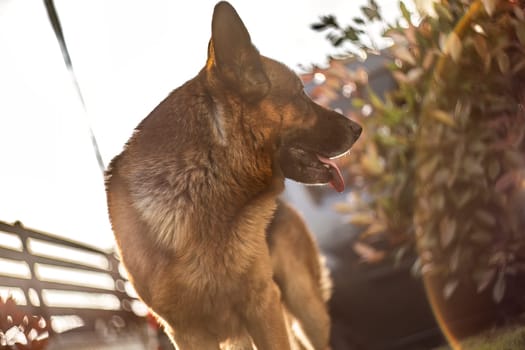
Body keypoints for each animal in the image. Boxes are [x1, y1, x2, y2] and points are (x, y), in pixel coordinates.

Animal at [105, 1, 360, 348]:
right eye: (301, 93)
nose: (358, 128)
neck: (202, 184)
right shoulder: (189, 333)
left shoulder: (262, 305)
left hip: (306, 308)